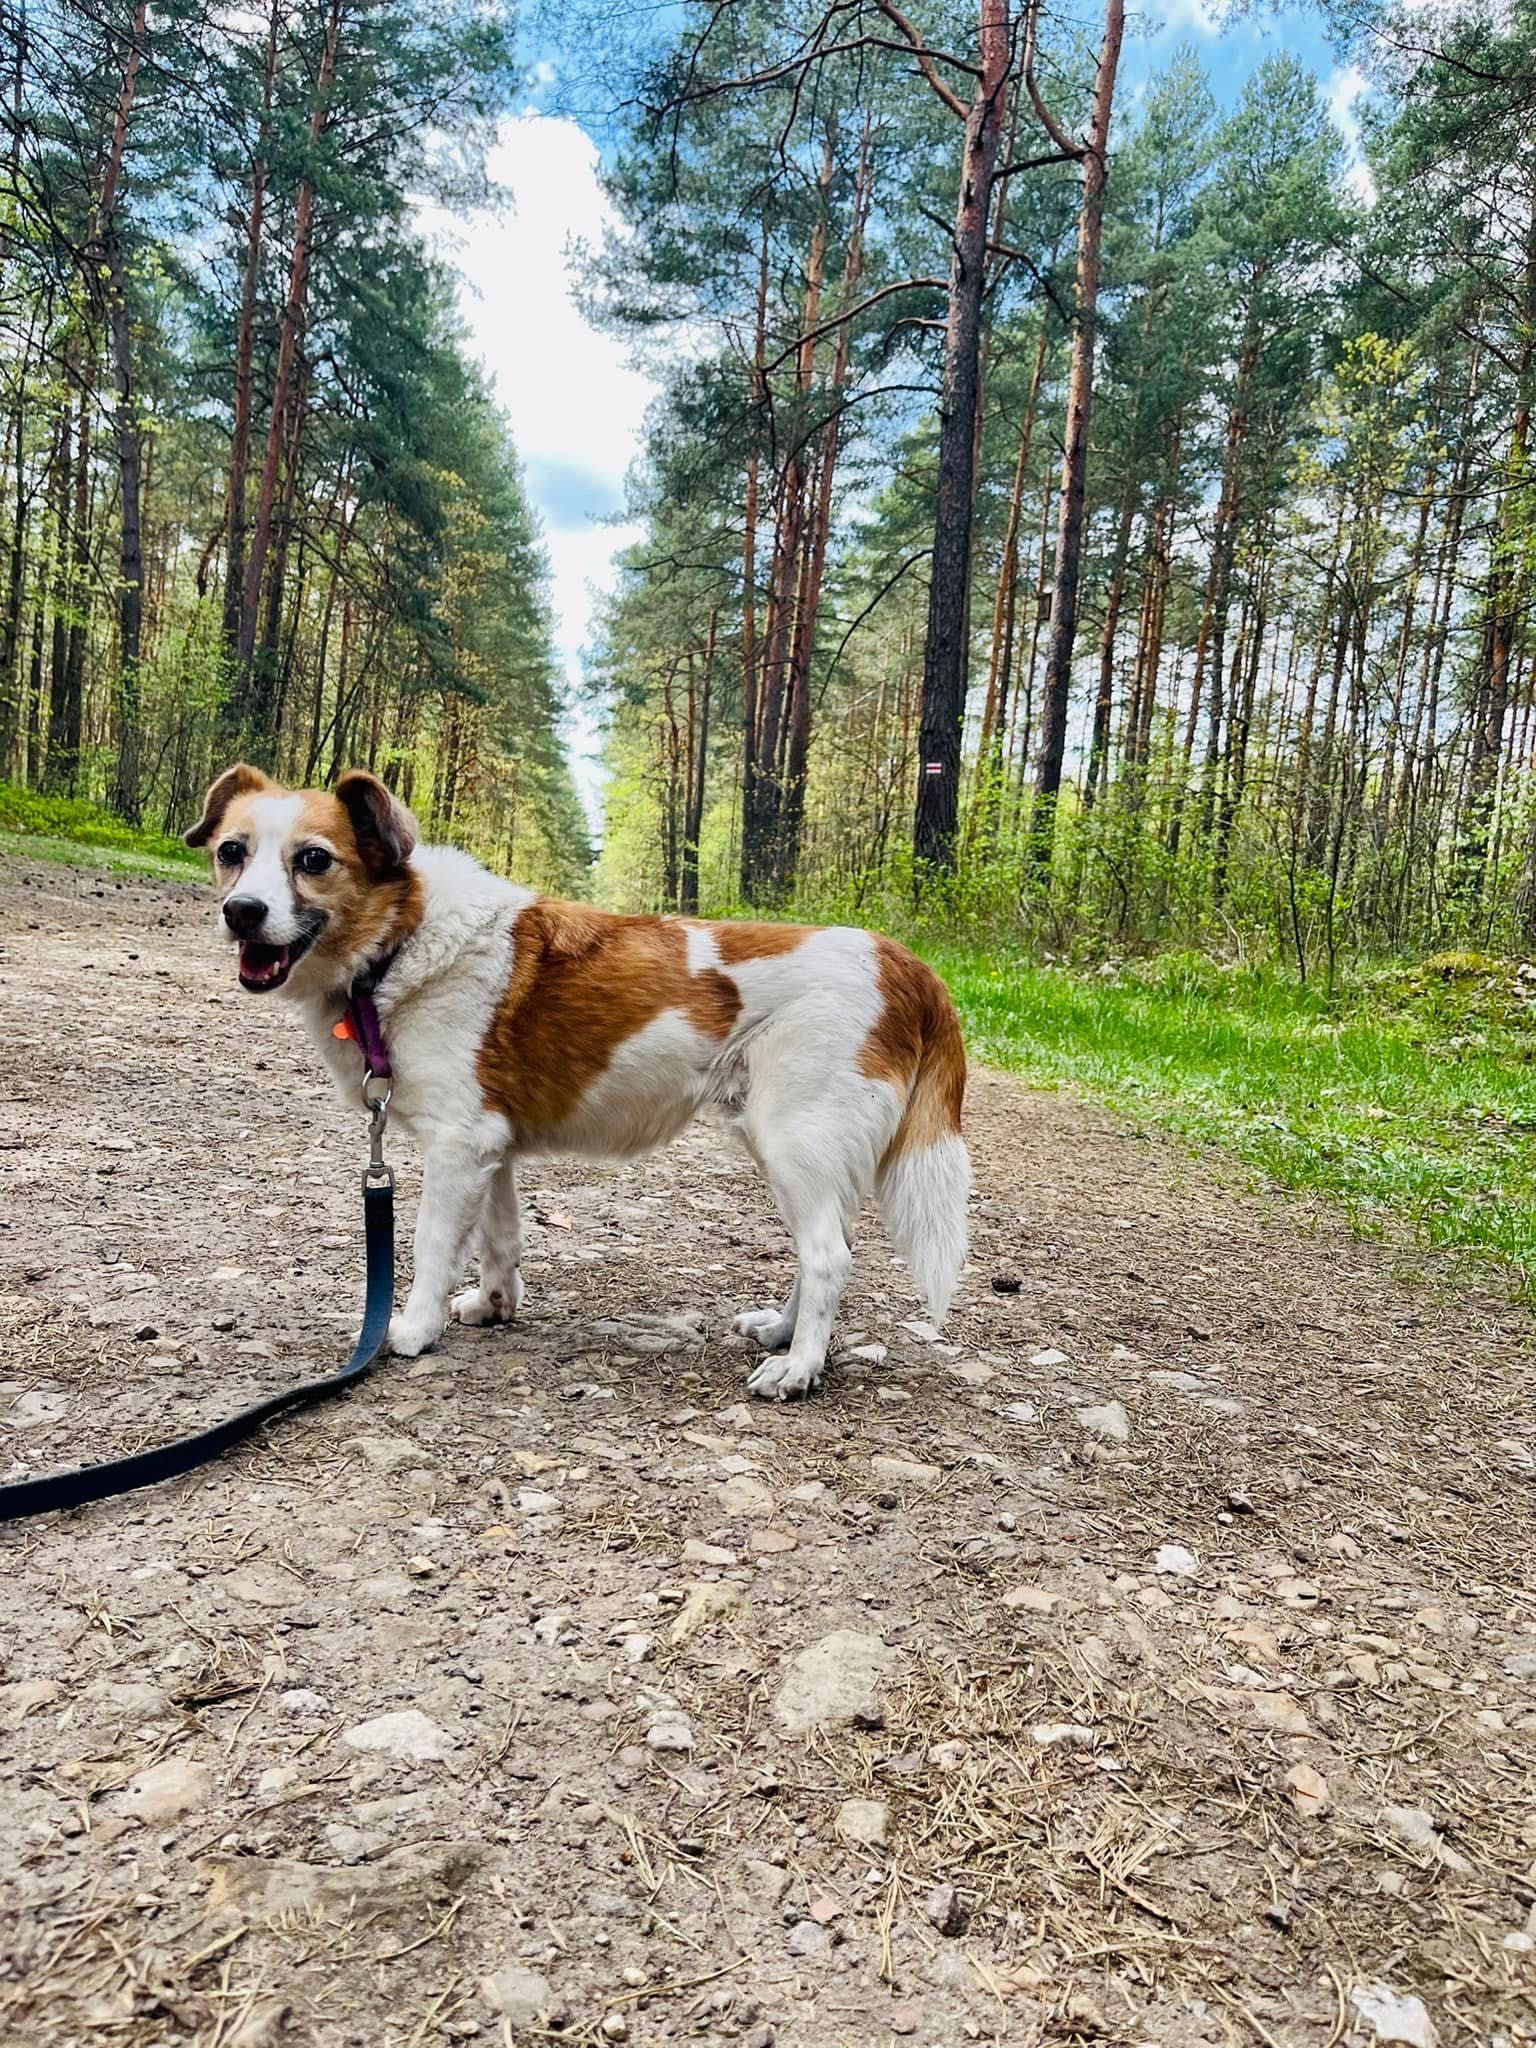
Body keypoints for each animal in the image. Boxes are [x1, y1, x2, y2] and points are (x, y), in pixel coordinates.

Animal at [186, 761, 966, 1400]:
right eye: (232, 853)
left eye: (313, 860)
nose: (241, 912)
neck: (398, 941)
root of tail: (906, 963)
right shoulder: (491, 1149)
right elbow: (499, 1240)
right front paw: (494, 1308)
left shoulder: (456, 1148)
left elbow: (435, 1245)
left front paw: (412, 1330)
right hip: (797, 1152)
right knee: (823, 1251)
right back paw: (782, 1332)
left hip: (794, 1142)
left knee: (830, 1258)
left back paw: (798, 1368)